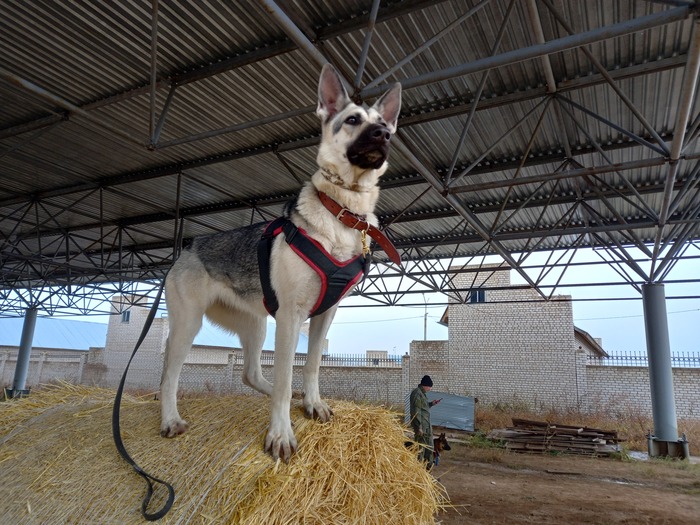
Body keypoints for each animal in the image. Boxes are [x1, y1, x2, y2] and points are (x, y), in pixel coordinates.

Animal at [159, 64, 400, 458]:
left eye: (384, 124)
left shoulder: (323, 315)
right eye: (352, 120)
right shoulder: (290, 316)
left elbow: (312, 366)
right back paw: (170, 419)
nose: (384, 136)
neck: (343, 214)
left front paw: (312, 403)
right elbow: (287, 376)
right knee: (169, 375)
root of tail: (191, 245)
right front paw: (281, 434)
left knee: (250, 373)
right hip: (188, 325)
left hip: (255, 325)